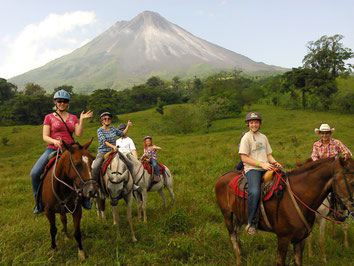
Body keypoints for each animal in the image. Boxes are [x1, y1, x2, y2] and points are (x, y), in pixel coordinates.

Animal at [214, 157, 352, 264]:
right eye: (352, 183)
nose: (350, 210)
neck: (299, 197)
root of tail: (223, 176)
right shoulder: (283, 239)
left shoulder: (300, 239)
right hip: (227, 214)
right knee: (232, 236)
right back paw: (238, 259)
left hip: (240, 216)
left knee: (236, 234)